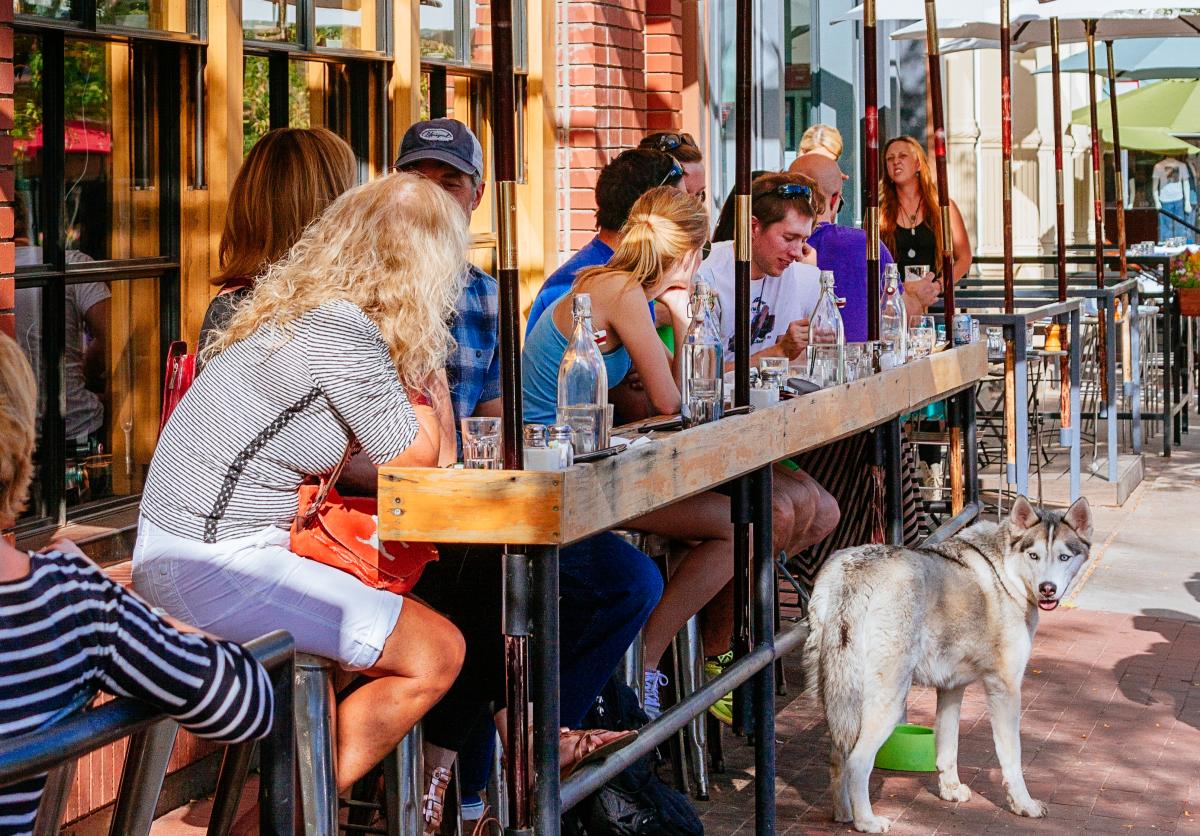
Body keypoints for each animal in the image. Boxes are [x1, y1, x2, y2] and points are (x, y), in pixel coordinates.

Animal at [801, 496, 1094, 830]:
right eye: (1034, 555)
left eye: (1063, 557)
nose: (1048, 588)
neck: (1005, 572)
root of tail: (853, 572)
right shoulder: (1005, 689)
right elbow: (1012, 759)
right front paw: (1024, 805)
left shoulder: (952, 689)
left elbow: (947, 749)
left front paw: (950, 791)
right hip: (889, 705)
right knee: (857, 762)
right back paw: (867, 822)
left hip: (841, 703)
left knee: (837, 758)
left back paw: (843, 814)